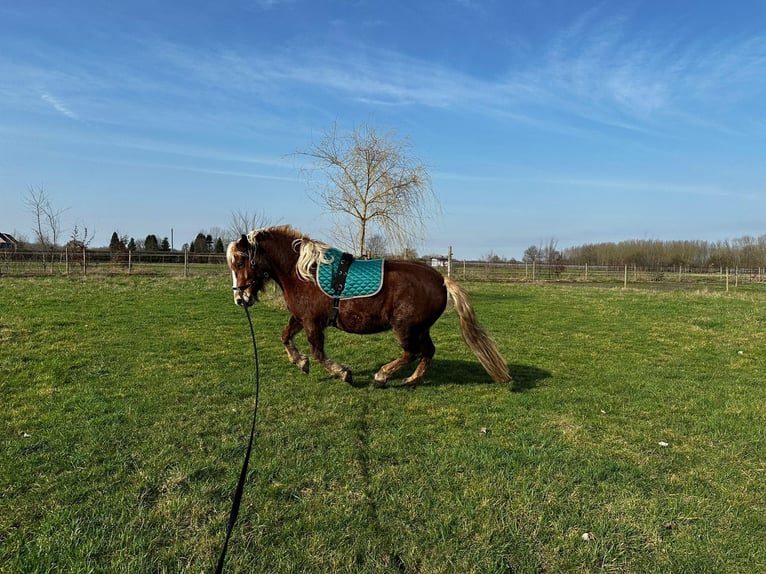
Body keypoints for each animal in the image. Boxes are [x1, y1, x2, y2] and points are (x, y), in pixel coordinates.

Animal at [227, 225, 510, 386]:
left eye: (240, 263)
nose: (240, 299)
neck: (304, 273)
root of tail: (440, 278)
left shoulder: (312, 323)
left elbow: (318, 353)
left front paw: (343, 373)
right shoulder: (300, 318)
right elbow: (285, 337)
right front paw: (300, 362)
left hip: (404, 327)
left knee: (412, 352)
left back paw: (383, 376)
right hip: (420, 328)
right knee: (427, 352)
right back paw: (411, 379)